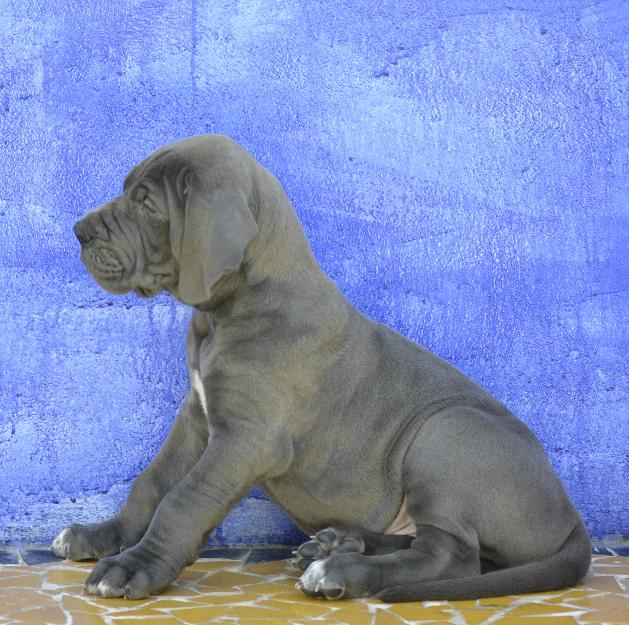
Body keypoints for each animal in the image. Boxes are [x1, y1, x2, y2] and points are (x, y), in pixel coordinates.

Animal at [52, 135, 588, 600]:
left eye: (146, 204)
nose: (79, 231)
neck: (228, 311)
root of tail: (570, 516)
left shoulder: (247, 438)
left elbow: (184, 499)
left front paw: (133, 567)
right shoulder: (197, 418)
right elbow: (152, 482)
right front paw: (100, 535)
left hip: (446, 432)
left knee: (452, 555)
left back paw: (343, 571)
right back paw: (339, 543)